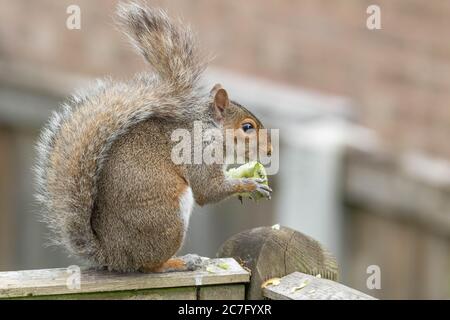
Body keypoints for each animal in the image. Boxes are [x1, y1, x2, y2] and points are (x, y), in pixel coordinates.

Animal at [34, 2, 270, 272]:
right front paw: (252, 184)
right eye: (248, 127)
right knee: (150, 265)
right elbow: (208, 190)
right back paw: (180, 262)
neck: (211, 129)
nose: (270, 150)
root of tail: (114, 256)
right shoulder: (199, 151)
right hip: (166, 219)